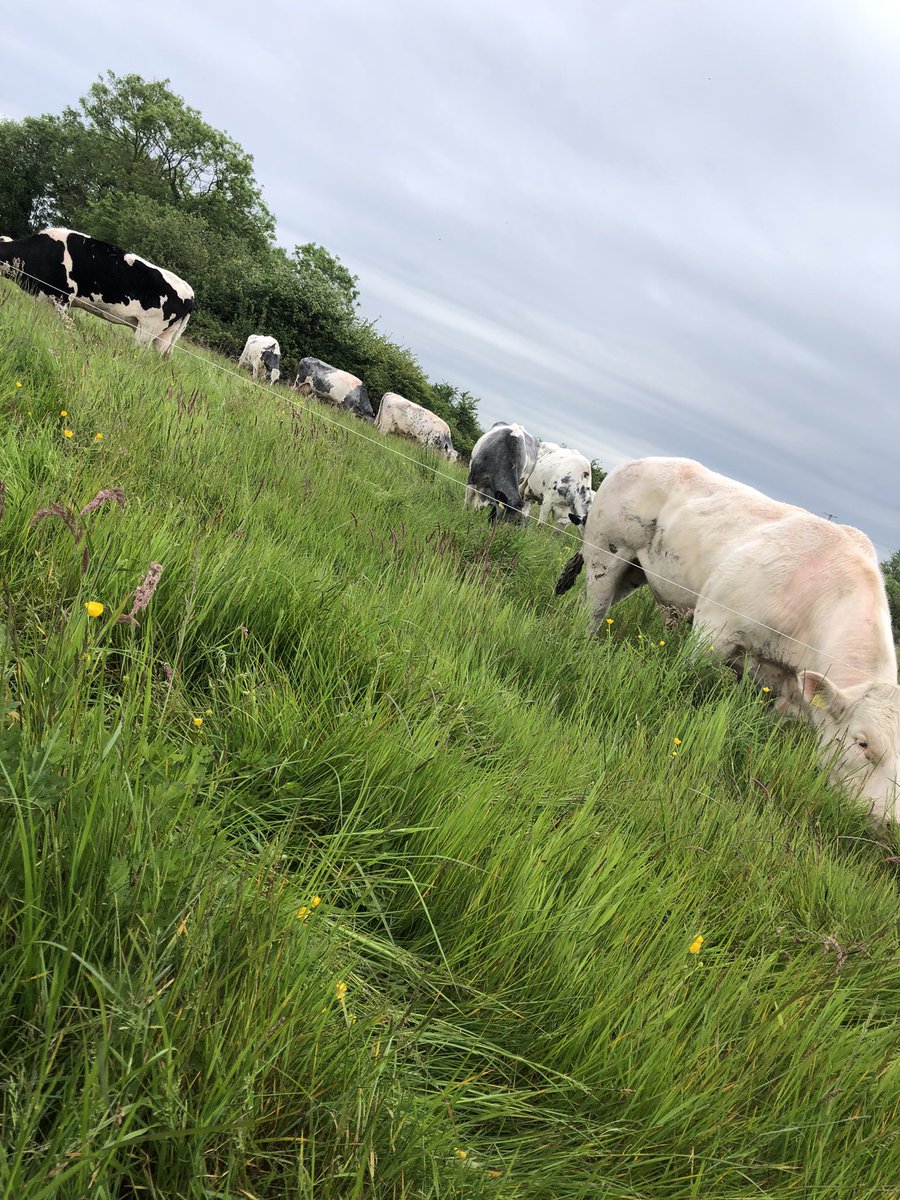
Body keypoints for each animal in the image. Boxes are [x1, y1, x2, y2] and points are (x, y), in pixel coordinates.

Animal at [0, 228, 193, 355]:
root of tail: (189, 291)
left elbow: (68, 326)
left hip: (148, 330)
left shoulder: (62, 297)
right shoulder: (42, 297)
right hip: (163, 337)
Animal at [555, 457, 900, 822]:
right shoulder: (714, 625)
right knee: (593, 610)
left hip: (632, 572)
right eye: (863, 743)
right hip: (607, 554)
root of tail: (638, 462)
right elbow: (686, 680)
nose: (887, 821)